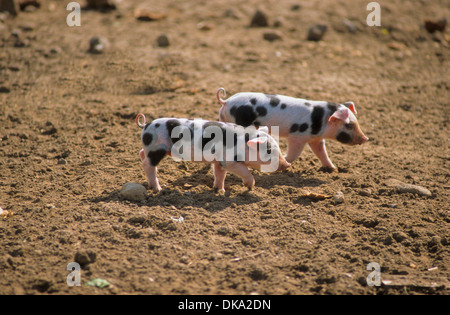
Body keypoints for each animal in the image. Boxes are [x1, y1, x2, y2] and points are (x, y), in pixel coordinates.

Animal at [135, 113, 290, 193]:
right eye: (269, 150)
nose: (287, 164)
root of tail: (146, 126)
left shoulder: (219, 160)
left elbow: (220, 174)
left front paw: (219, 190)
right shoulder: (230, 161)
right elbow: (245, 171)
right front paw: (250, 187)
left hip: (150, 148)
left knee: (142, 153)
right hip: (156, 149)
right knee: (148, 165)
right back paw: (158, 189)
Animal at [217, 87, 370, 172]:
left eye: (356, 122)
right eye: (349, 125)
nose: (366, 138)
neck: (320, 121)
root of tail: (227, 102)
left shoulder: (316, 139)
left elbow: (322, 153)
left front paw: (333, 169)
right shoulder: (297, 137)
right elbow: (295, 153)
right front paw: (286, 163)